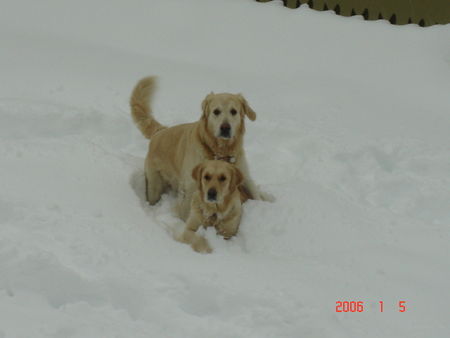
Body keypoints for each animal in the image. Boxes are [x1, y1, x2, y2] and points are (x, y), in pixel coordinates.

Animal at [128, 75, 272, 220]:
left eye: (234, 112)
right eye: (216, 111)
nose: (225, 128)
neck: (220, 151)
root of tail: (160, 131)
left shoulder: (245, 176)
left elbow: (255, 194)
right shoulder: (190, 185)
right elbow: (187, 209)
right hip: (154, 184)